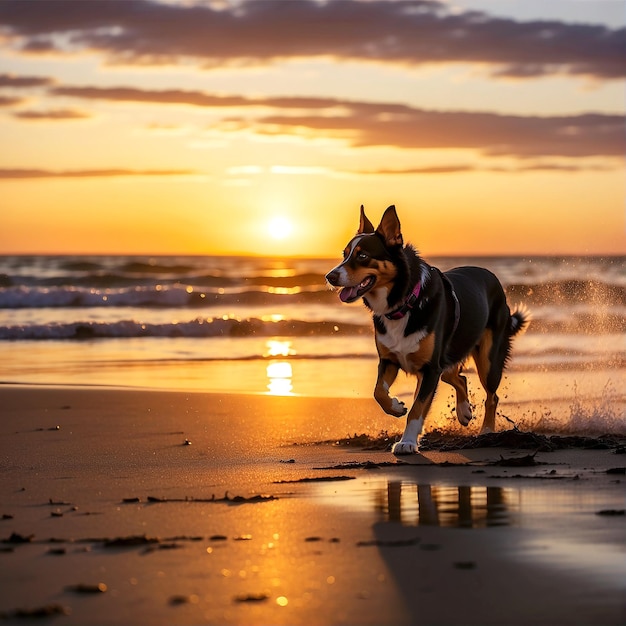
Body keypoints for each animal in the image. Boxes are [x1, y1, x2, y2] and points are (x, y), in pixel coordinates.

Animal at [326, 205, 528, 454]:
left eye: (362, 256)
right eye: (344, 254)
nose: (330, 276)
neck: (403, 304)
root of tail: (491, 276)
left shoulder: (431, 368)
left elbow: (417, 408)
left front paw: (408, 442)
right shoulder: (390, 360)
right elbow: (379, 392)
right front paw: (396, 407)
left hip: (488, 360)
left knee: (492, 396)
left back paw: (487, 432)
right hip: (448, 357)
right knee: (459, 377)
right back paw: (464, 411)